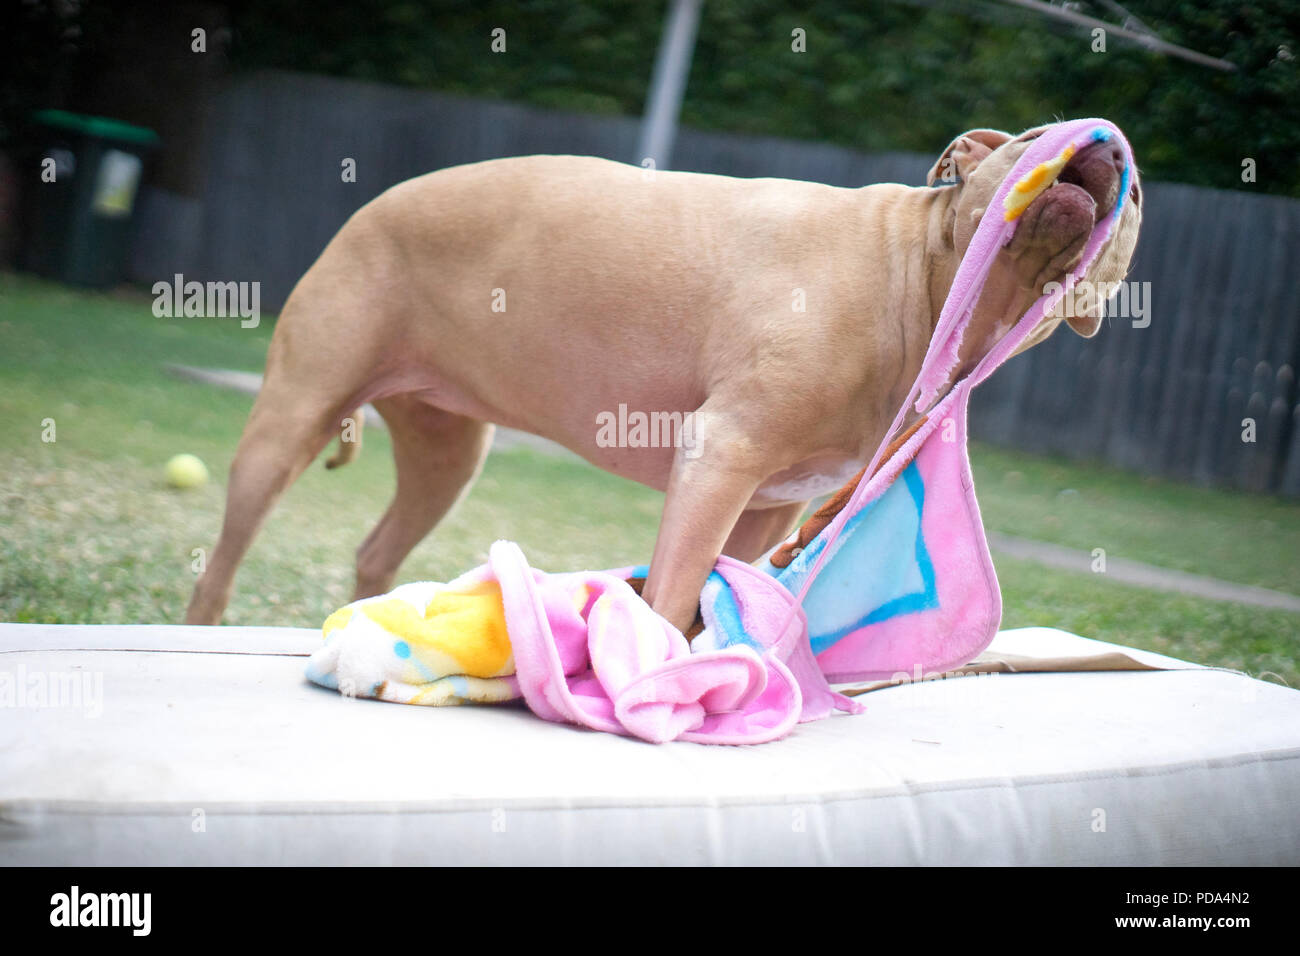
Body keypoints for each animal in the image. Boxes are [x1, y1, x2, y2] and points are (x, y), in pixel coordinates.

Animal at [188, 123, 1144, 632]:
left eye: (1134, 192)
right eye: (1032, 138)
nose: (1104, 143)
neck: (918, 283)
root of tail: (374, 202)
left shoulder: (767, 509)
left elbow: (706, 593)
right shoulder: (724, 455)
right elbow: (676, 585)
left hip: (446, 458)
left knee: (378, 550)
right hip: (288, 423)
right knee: (222, 560)